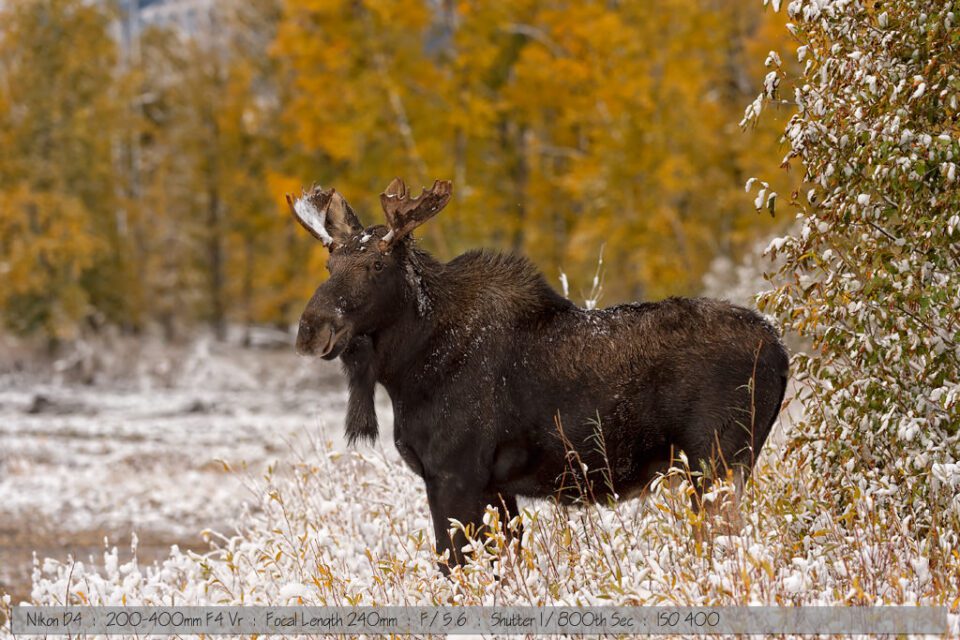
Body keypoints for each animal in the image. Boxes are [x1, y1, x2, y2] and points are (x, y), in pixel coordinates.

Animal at [288, 178, 792, 568]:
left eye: (376, 264)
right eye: (329, 263)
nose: (311, 329)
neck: (407, 371)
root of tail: (781, 353)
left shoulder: (454, 474)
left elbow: (458, 565)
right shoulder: (495, 487)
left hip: (716, 464)